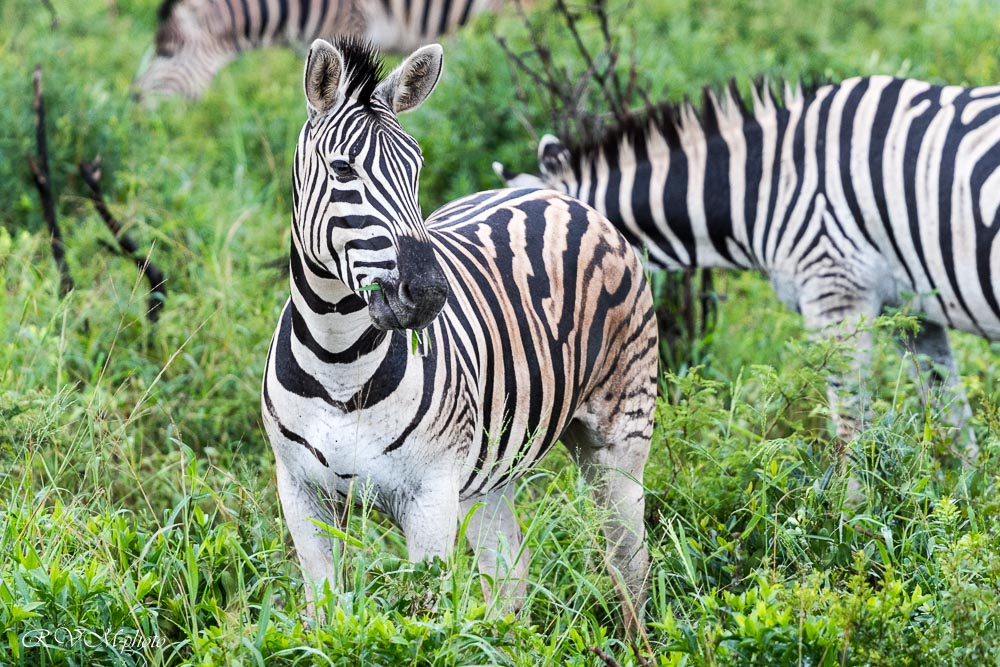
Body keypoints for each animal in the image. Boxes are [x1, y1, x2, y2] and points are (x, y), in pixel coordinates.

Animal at [261, 36, 658, 631]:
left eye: (416, 166)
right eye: (342, 169)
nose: (427, 292)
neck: (339, 364)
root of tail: (560, 198)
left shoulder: (430, 495)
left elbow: (419, 619)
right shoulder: (301, 494)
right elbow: (327, 612)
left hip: (620, 434)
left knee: (627, 559)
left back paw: (639, 641)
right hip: (491, 466)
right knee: (510, 568)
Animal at [494, 76, 1000, 477]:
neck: (763, 183)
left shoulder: (834, 287)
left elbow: (850, 419)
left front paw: (851, 511)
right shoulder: (911, 309)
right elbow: (950, 410)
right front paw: (969, 490)